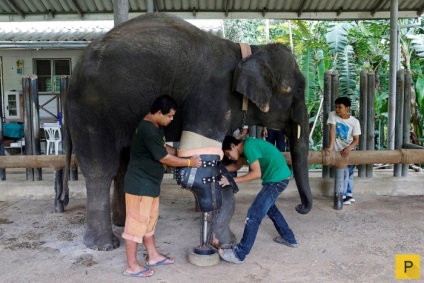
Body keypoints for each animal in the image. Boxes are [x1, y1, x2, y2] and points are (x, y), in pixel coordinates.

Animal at [63, 13, 312, 252]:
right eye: (297, 89)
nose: (300, 207)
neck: (246, 51)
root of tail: (72, 76)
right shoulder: (211, 97)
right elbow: (205, 166)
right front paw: (225, 243)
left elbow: (218, 164)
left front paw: (221, 240)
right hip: (92, 112)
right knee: (101, 169)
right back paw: (104, 245)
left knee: (123, 166)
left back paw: (123, 225)